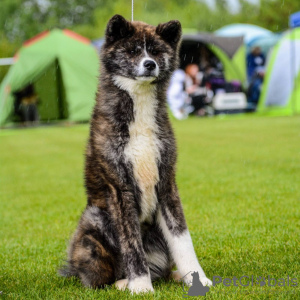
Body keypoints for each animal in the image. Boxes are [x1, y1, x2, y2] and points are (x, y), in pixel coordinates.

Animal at [59, 15, 212, 294]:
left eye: (156, 51)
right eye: (132, 51)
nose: (149, 64)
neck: (139, 109)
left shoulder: (166, 185)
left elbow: (183, 239)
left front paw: (198, 278)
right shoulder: (121, 190)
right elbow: (132, 246)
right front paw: (140, 286)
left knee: (161, 269)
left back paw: (175, 276)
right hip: (95, 223)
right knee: (99, 280)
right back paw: (123, 282)